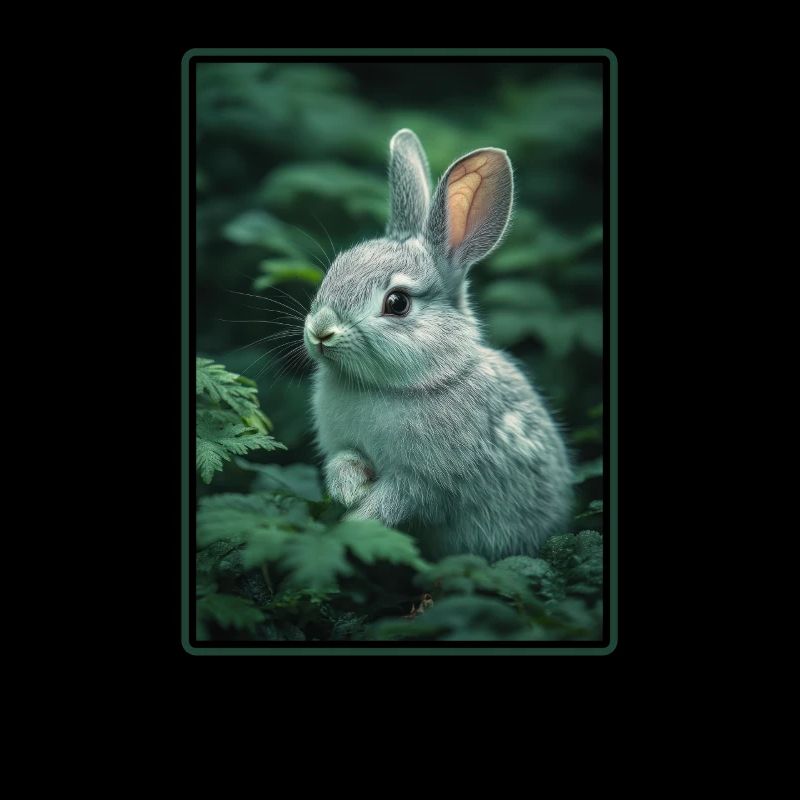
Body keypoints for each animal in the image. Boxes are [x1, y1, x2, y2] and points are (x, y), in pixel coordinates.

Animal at [304, 129, 573, 561]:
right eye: (335, 269)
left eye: (397, 303)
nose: (321, 331)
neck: (398, 387)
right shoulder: (343, 447)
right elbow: (343, 462)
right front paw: (350, 490)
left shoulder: (425, 483)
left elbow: (395, 501)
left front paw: (354, 524)